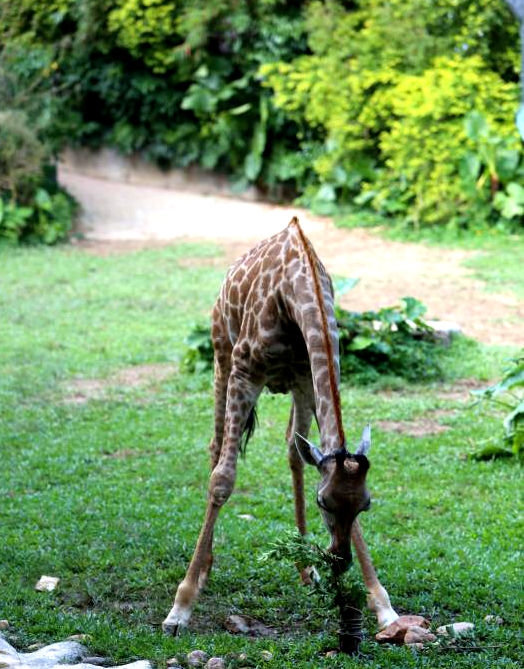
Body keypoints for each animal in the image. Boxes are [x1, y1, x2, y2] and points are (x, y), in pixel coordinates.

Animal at [162, 219, 400, 636]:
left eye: (366, 504)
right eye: (323, 502)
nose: (339, 561)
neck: (296, 295)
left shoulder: (308, 378)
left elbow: (321, 451)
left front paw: (383, 605)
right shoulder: (244, 373)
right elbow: (222, 479)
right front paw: (180, 608)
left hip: (290, 387)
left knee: (293, 450)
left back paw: (305, 570)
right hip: (221, 356)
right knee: (215, 447)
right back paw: (205, 568)